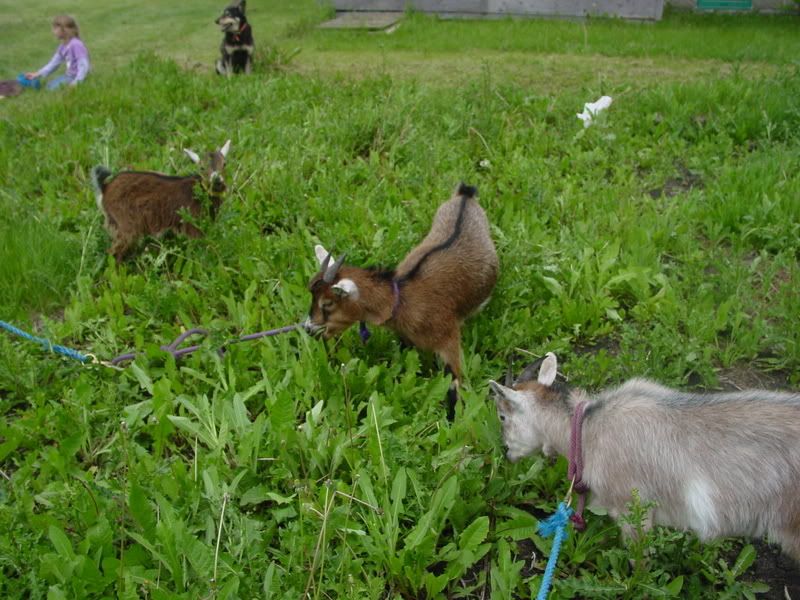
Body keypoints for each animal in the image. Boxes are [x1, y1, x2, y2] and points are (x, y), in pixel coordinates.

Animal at [90, 140, 231, 262]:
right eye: (201, 168)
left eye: (224, 164)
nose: (217, 180)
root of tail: (105, 187)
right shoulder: (193, 227)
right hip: (125, 225)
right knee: (113, 253)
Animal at [306, 183, 499, 419]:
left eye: (327, 303)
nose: (308, 328)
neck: (403, 299)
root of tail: (465, 195)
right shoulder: (405, 338)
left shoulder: (449, 339)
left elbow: (453, 387)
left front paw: (454, 420)